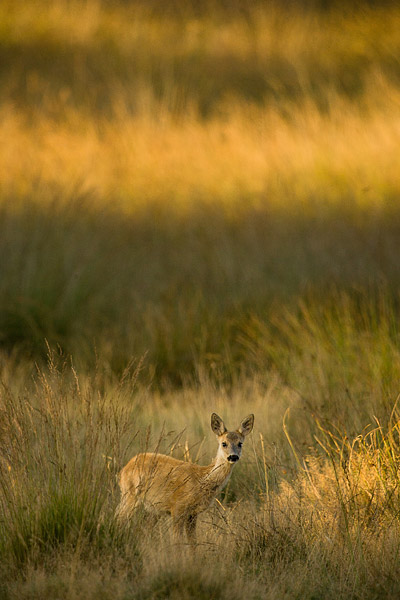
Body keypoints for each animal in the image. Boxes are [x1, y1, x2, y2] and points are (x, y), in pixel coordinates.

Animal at [116, 412, 253, 540]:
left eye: (240, 443)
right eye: (224, 443)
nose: (233, 456)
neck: (202, 479)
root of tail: (124, 469)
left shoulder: (192, 514)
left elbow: (193, 542)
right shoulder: (177, 508)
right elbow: (177, 541)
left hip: (151, 508)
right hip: (129, 495)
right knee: (119, 517)